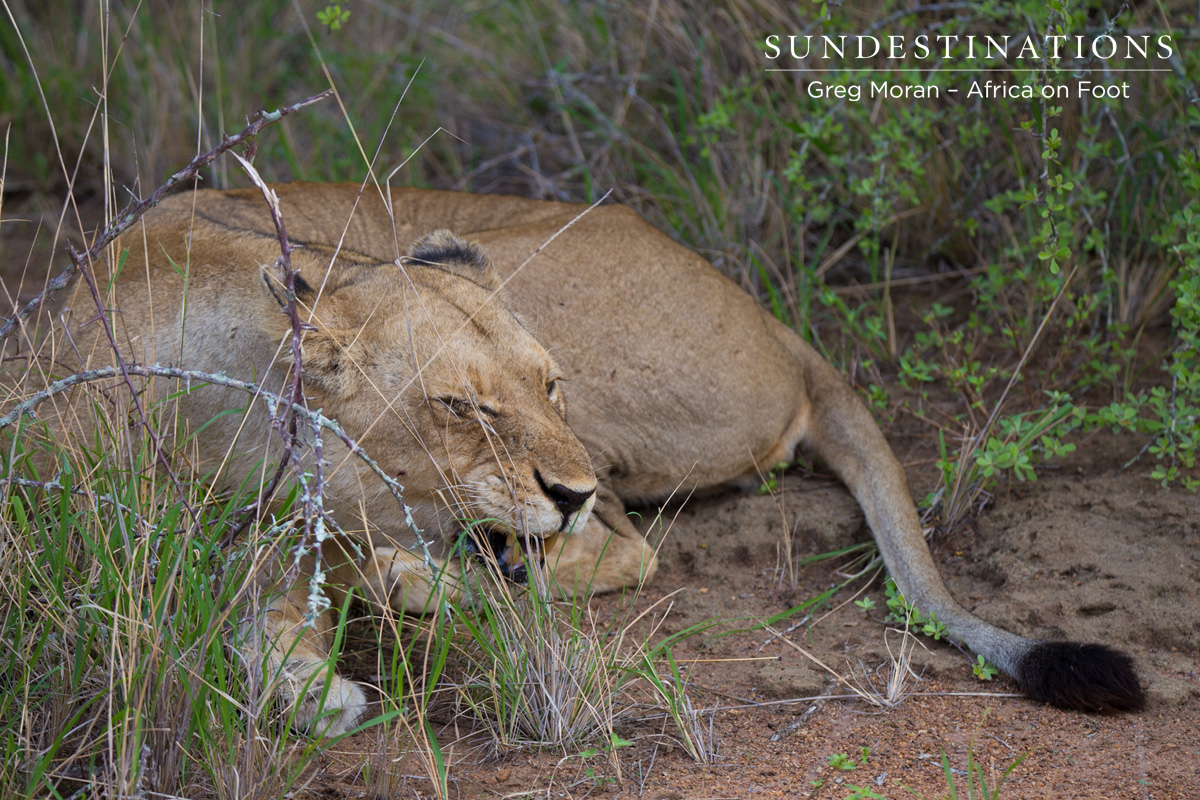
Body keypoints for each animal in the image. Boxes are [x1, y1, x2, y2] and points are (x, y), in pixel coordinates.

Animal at [9, 182, 1144, 735]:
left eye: (546, 385)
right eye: (460, 405)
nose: (570, 486)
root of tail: (786, 332)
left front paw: (315, 677)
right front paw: (304, 677)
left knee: (625, 549)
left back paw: (416, 582)